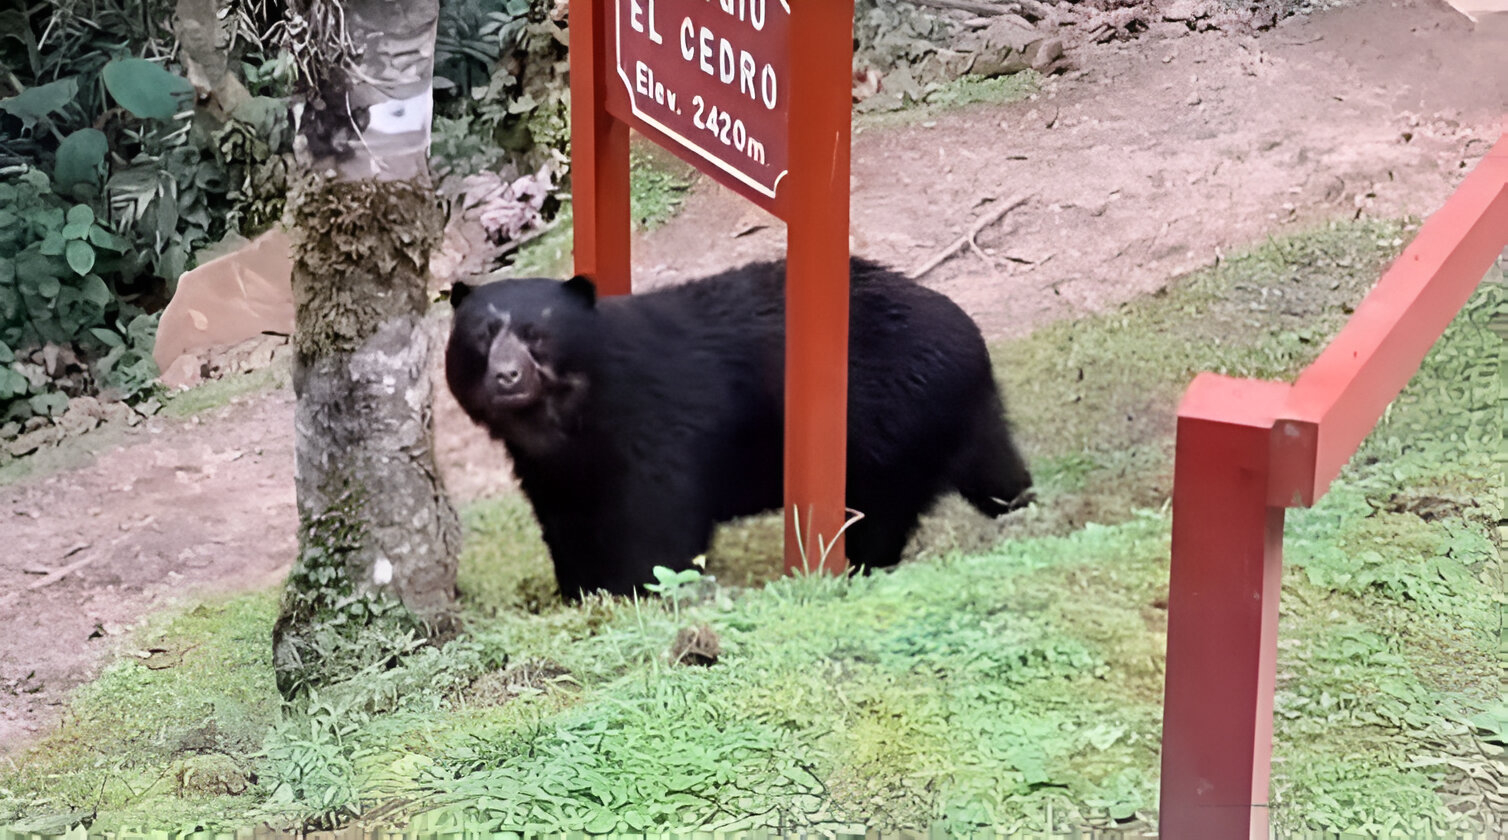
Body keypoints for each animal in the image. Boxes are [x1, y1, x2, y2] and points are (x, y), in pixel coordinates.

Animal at [445, 258, 1033, 599]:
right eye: (482, 336)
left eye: (536, 334)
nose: (506, 376)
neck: (572, 419)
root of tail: (970, 339)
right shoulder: (551, 469)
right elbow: (566, 522)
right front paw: (579, 589)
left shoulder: (656, 426)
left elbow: (658, 521)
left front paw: (637, 587)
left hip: (886, 427)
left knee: (877, 515)